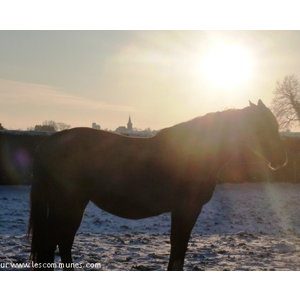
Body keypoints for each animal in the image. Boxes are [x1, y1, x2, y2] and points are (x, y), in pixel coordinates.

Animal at [27, 99, 286, 270]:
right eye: (263, 126)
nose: (281, 159)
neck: (195, 152)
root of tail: (49, 142)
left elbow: (177, 246)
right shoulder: (187, 209)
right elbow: (179, 247)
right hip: (69, 205)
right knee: (59, 242)